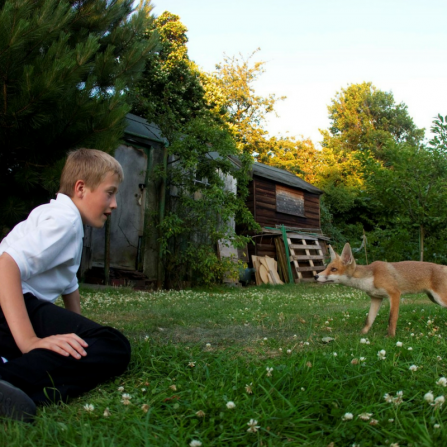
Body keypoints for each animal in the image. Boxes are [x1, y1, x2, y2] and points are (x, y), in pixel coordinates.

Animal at [316, 245, 447, 336]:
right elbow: (369, 320)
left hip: (439, 298)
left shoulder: (395, 294)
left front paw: (390, 337)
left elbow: (392, 318)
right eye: (327, 267)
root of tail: (443, 266)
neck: (370, 278)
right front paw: (361, 335)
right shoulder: (376, 298)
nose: (316, 276)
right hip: (434, 298)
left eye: (334, 269)